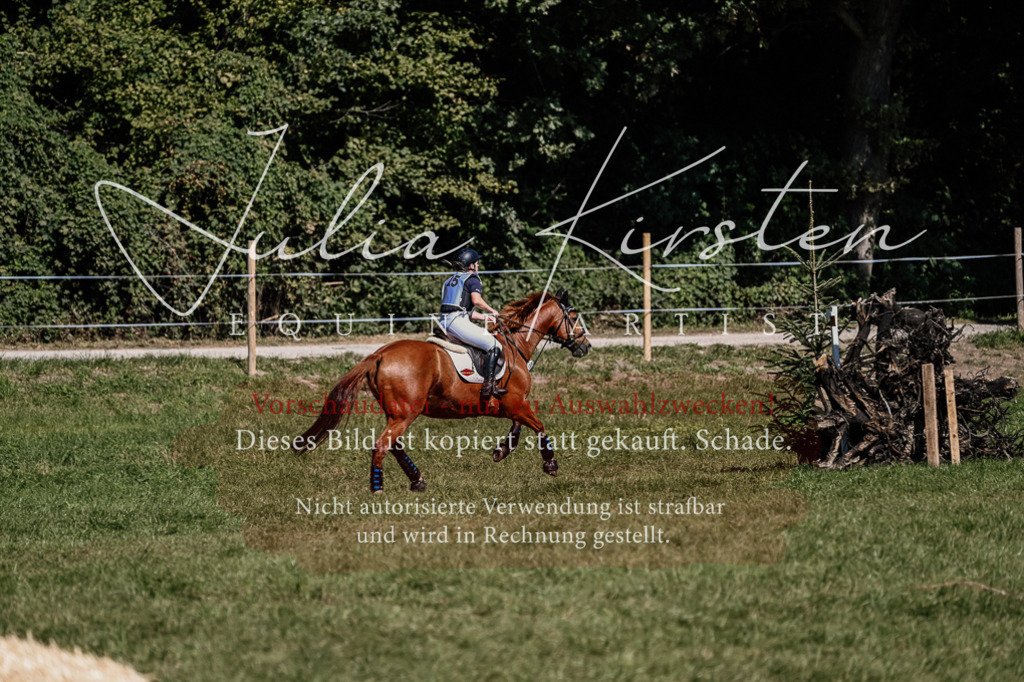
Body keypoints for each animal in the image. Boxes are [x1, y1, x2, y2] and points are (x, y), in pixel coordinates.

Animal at [293, 289, 592, 492]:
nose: (585, 346)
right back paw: (378, 489)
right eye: (574, 316)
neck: (515, 345)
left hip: (398, 413)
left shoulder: (512, 405)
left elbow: (517, 428)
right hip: (405, 413)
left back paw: (418, 481)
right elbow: (539, 426)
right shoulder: (516, 403)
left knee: (394, 444)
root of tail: (380, 354)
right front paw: (550, 464)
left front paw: (501, 450)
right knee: (382, 445)